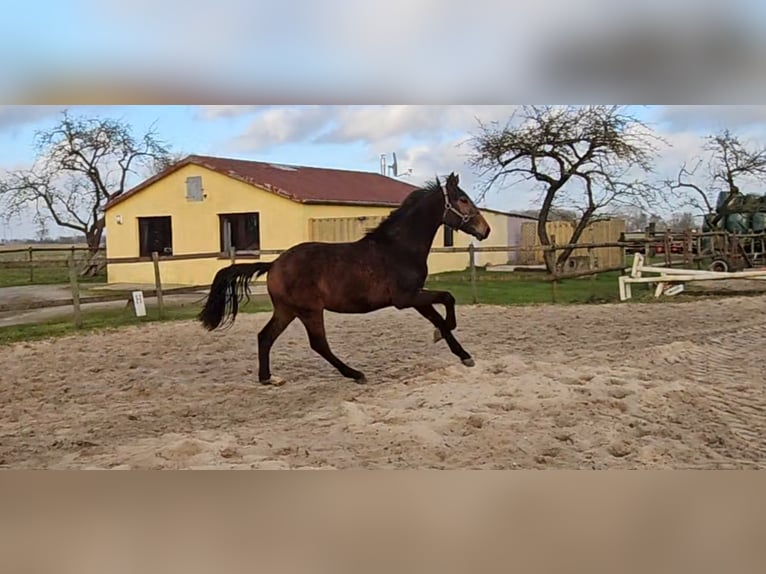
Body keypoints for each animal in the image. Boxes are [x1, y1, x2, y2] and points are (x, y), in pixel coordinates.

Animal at [198, 172, 492, 388]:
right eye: (463, 200)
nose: (486, 230)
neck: (399, 248)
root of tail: (274, 264)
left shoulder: (416, 296)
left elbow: (439, 318)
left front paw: (459, 352)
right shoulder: (406, 297)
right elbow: (447, 301)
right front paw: (451, 344)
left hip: (287, 310)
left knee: (265, 337)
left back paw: (269, 379)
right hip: (309, 310)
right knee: (318, 344)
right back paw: (356, 374)